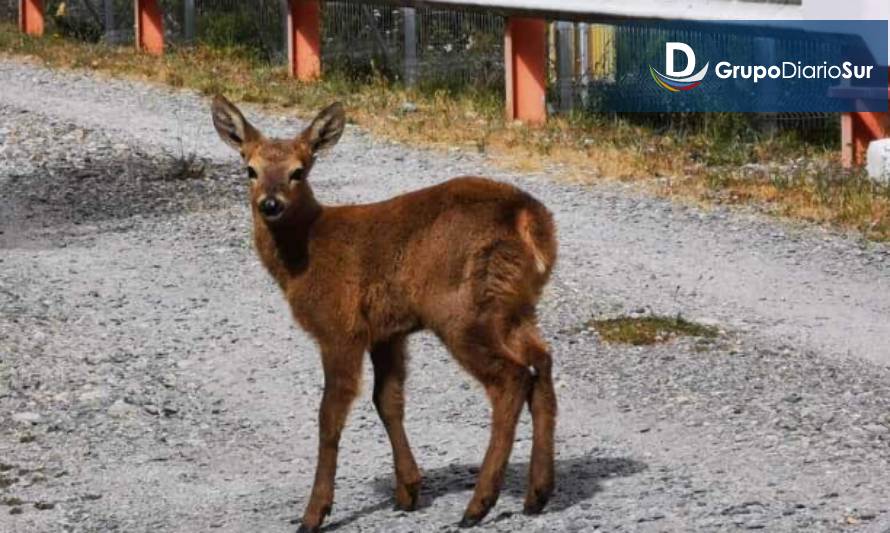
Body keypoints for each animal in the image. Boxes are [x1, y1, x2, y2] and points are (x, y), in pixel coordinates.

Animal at [209, 93, 556, 528]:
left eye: (298, 171)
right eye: (250, 169)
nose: (270, 204)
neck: (305, 255)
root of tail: (527, 218)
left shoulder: (340, 326)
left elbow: (329, 416)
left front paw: (315, 513)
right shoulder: (387, 332)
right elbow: (388, 401)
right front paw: (408, 490)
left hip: (462, 310)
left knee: (511, 378)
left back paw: (478, 505)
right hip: (515, 306)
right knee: (541, 361)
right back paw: (537, 494)